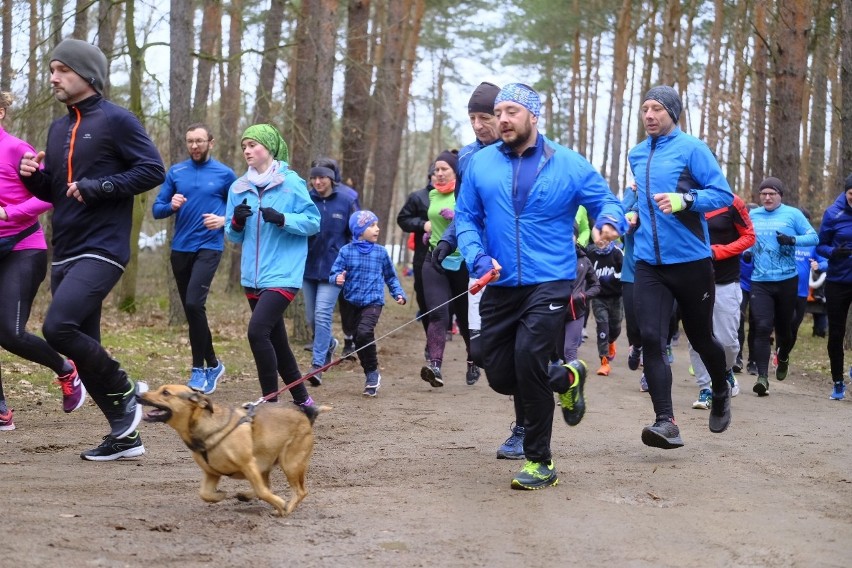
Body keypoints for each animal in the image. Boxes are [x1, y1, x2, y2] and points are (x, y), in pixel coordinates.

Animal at [140, 386, 326, 516]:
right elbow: (204, 493)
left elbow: (263, 491)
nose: (138, 395)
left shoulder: (248, 464)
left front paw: (280, 505)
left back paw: (286, 508)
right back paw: (247, 495)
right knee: (267, 485)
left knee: (299, 491)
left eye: (165, 392)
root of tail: (305, 413)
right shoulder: (211, 473)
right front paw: (220, 495)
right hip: (268, 462)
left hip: (291, 463)